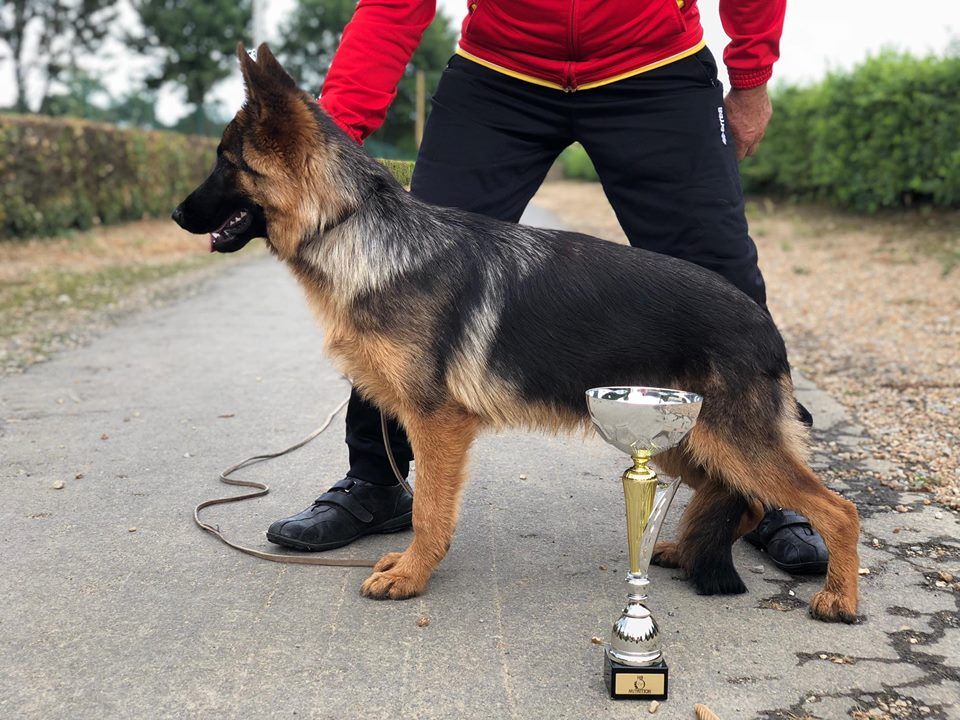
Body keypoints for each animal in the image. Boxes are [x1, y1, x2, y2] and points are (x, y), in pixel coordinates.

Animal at [172, 45, 864, 620]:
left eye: (225, 163)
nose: (175, 213)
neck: (354, 225)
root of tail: (764, 324)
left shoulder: (438, 423)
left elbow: (429, 510)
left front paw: (412, 576)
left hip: (725, 441)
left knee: (836, 509)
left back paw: (838, 597)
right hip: (684, 443)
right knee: (741, 498)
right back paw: (684, 549)